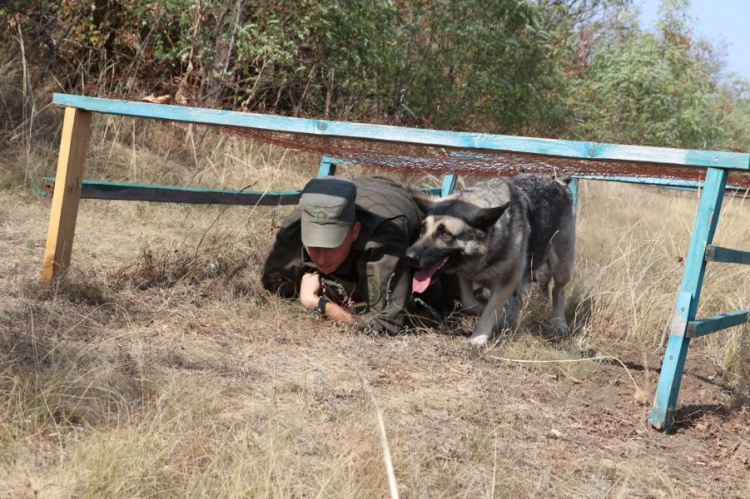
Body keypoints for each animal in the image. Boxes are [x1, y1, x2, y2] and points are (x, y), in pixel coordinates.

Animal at [406, 176, 576, 348]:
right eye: (423, 229)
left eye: (446, 234)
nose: (408, 256)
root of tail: (559, 182)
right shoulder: (465, 276)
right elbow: (469, 302)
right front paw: (483, 311)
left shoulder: (505, 283)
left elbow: (491, 308)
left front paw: (478, 338)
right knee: (517, 303)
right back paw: (502, 322)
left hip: (561, 268)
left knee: (558, 290)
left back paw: (559, 323)